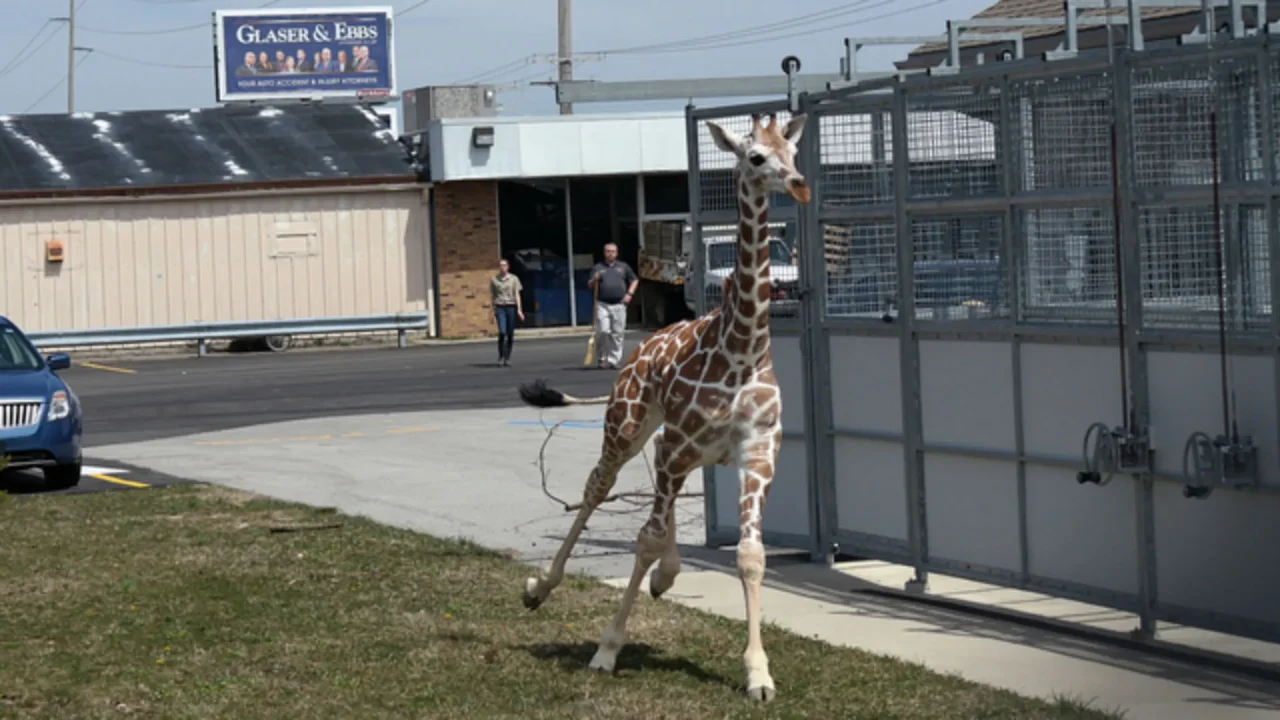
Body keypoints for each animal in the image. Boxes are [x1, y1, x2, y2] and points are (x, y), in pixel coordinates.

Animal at [512, 113, 803, 702]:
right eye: (756, 156)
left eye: (794, 151)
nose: (797, 182)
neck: (741, 350)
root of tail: (641, 347)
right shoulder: (675, 445)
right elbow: (642, 539)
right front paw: (606, 649)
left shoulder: (759, 455)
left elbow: (751, 556)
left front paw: (758, 674)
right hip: (629, 426)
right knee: (596, 490)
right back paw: (541, 585)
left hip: (675, 446)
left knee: (657, 512)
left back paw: (666, 576)